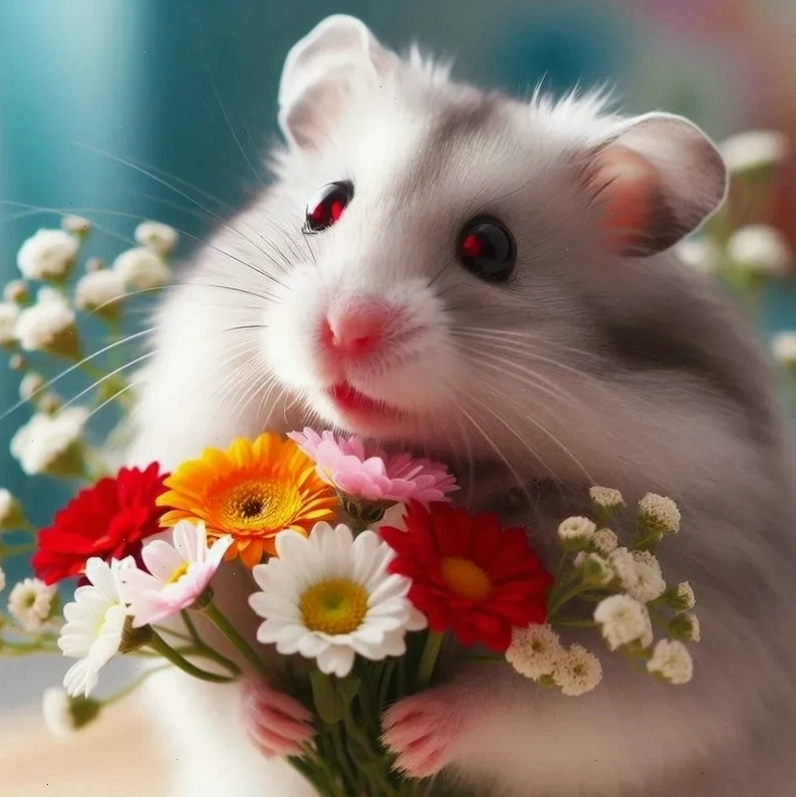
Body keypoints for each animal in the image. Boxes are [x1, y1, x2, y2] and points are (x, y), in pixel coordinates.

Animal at [125, 15, 796, 797]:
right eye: (324, 205)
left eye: (491, 247)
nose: (344, 328)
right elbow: (219, 681)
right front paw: (289, 725)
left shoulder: (665, 684)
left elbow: (523, 708)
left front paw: (399, 736)